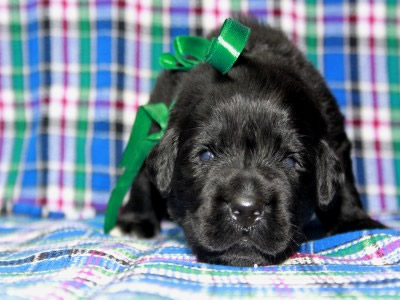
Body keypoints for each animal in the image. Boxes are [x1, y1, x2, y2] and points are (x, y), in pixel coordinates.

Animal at [114, 16, 386, 266]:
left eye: (290, 161)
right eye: (206, 155)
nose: (246, 211)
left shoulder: (333, 130)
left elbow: (345, 184)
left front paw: (354, 221)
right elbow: (141, 176)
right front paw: (135, 219)